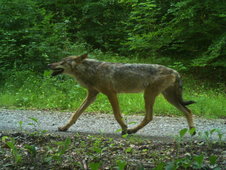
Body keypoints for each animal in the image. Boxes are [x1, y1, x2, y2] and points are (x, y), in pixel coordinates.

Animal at [48, 53, 196, 135]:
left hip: (149, 95)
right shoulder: (92, 95)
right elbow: (75, 114)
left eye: (62, 61)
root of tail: (175, 71)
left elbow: (117, 115)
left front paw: (124, 128)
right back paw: (192, 131)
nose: (49, 64)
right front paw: (64, 127)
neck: (91, 71)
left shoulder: (111, 93)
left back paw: (131, 130)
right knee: (188, 111)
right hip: (168, 98)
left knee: (149, 116)